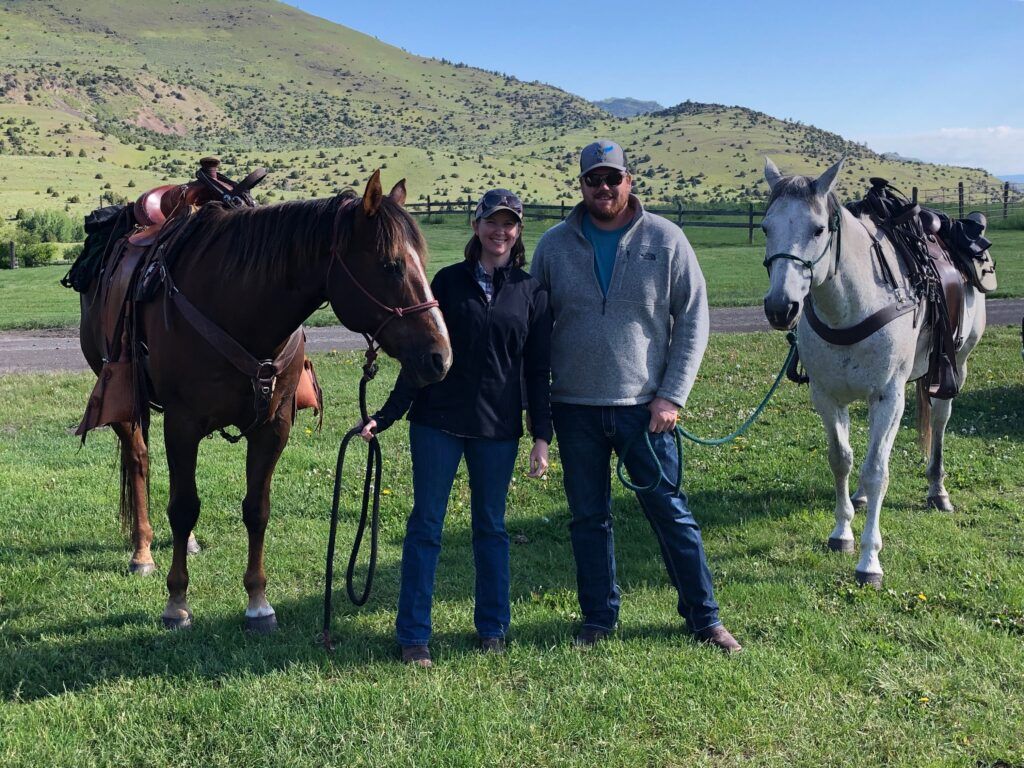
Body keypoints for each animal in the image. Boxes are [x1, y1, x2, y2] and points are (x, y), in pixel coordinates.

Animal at [75, 173, 452, 630]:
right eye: (390, 264)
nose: (441, 356)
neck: (237, 306)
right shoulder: (182, 423)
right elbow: (183, 507)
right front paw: (177, 602)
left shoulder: (273, 426)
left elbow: (256, 509)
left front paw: (258, 602)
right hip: (125, 402)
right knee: (139, 462)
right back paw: (142, 552)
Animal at [761, 157, 983, 589]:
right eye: (765, 227)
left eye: (818, 229)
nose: (781, 307)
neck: (852, 305)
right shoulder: (827, 396)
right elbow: (841, 459)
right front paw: (842, 532)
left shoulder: (888, 396)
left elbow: (878, 470)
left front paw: (869, 560)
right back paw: (862, 497)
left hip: (956, 366)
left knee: (940, 421)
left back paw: (937, 490)